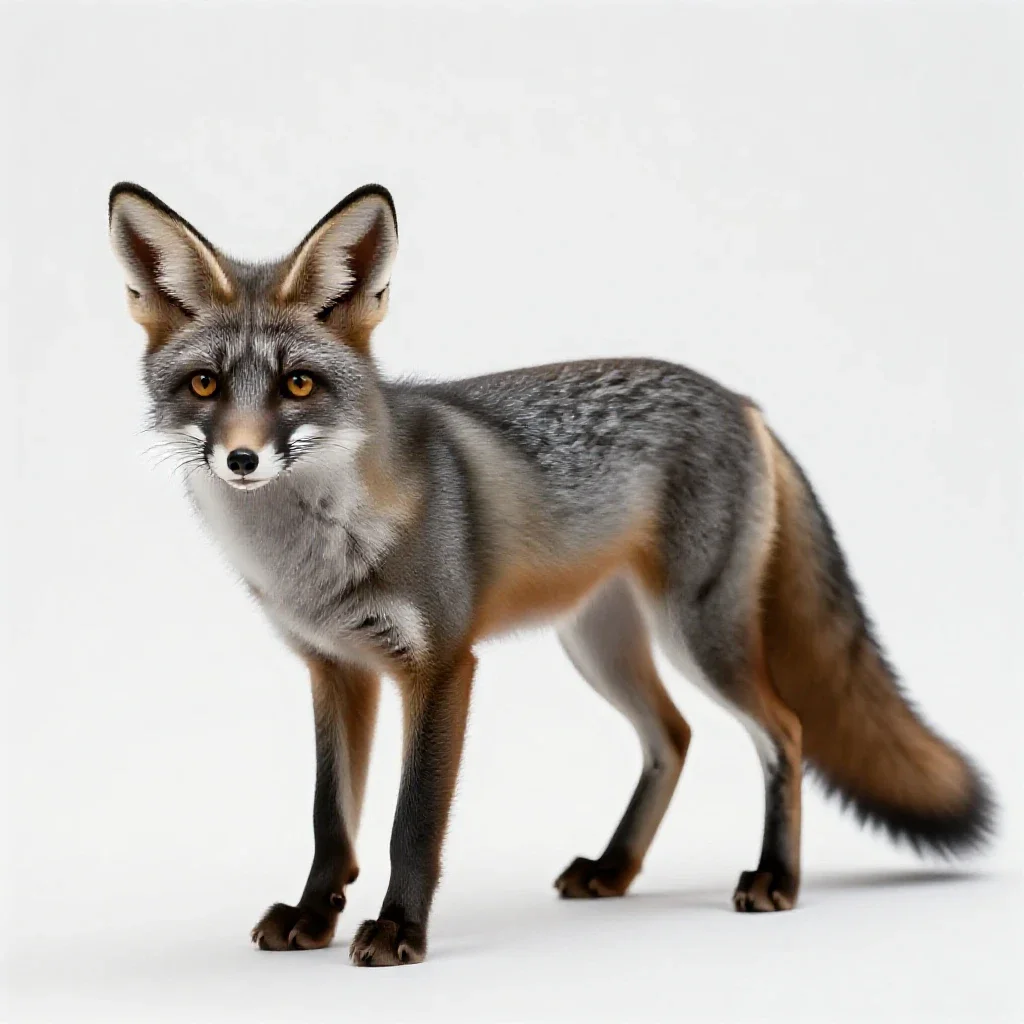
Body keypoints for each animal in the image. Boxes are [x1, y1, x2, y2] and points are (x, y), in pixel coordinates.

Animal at [108, 181, 993, 967]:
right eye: (204, 385)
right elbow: (334, 822)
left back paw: (777, 876)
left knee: (786, 732)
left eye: (298, 384)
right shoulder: (335, 669)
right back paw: (615, 868)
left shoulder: (440, 666)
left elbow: (410, 824)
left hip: (700, 635)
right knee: (674, 735)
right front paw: (313, 917)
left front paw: (398, 931)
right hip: (599, 645)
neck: (316, 560)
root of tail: (740, 399)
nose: (242, 460)